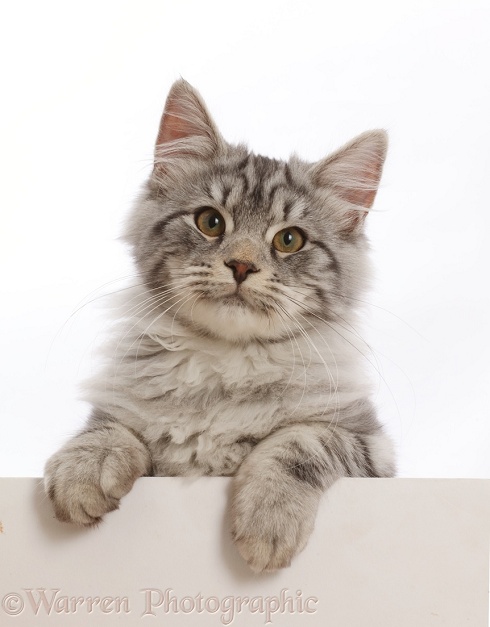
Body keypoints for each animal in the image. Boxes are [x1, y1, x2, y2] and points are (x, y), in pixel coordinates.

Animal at [44, 79, 396, 576]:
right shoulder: (128, 419)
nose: (242, 265)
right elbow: (111, 429)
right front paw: (85, 469)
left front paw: (269, 520)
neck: (224, 365)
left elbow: (300, 442)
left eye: (289, 240)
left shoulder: (371, 445)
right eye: (210, 222)